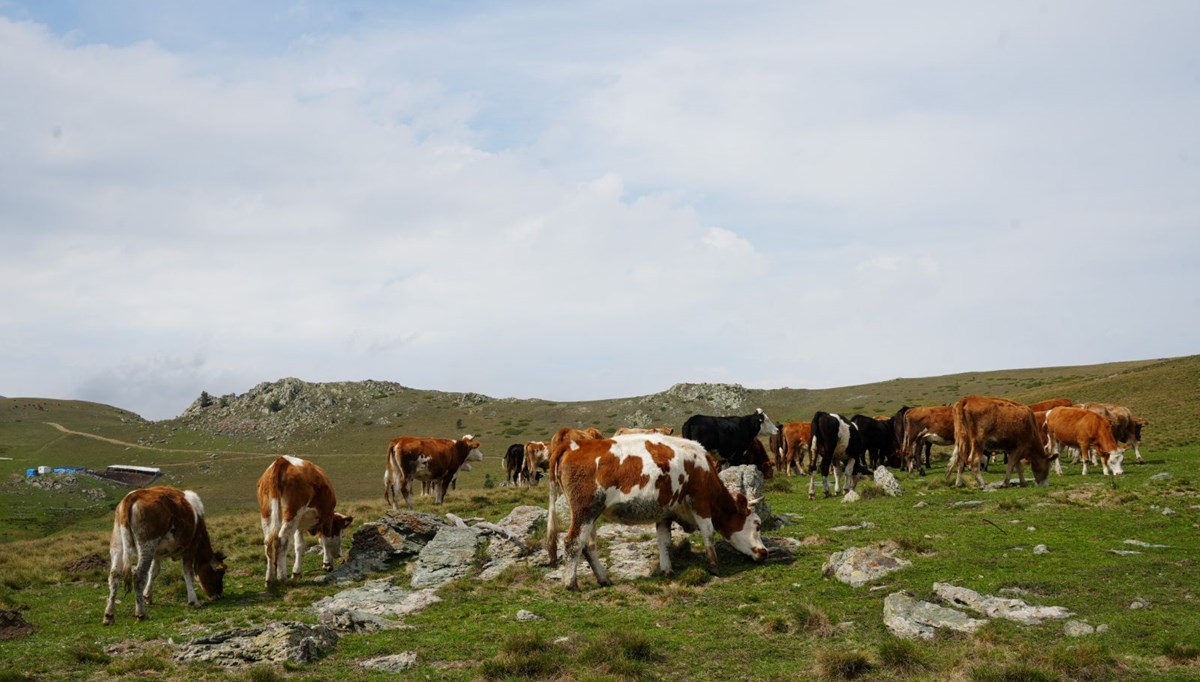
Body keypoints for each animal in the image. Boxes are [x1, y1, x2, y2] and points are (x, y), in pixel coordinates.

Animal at [102, 485, 225, 624]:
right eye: (220, 573)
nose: (218, 595)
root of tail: (132, 496)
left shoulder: (157, 554)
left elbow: (154, 571)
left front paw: (147, 596)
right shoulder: (190, 548)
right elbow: (188, 573)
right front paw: (194, 601)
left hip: (117, 544)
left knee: (114, 576)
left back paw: (109, 615)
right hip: (146, 545)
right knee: (138, 575)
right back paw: (140, 613)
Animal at [547, 434, 763, 588]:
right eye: (757, 525)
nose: (765, 552)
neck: (703, 469)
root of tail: (574, 445)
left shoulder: (664, 512)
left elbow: (664, 541)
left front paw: (667, 570)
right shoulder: (700, 501)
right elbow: (708, 533)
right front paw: (713, 565)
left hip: (592, 514)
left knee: (588, 545)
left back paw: (603, 579)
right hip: (585, 510)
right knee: (573, 542)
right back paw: (571, 583)